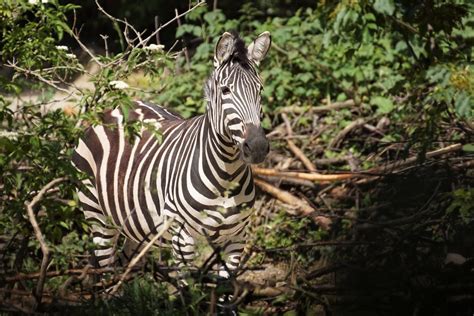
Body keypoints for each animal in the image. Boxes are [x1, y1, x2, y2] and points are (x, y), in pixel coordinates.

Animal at [70, 31, 270, 276]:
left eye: (260, 90)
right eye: (225, 90)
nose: (258, 146)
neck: (227, 176)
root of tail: (117, 107)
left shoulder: (237, 239)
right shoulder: (183, 238)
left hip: (137, 226)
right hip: (97, 217)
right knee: (105, 268)